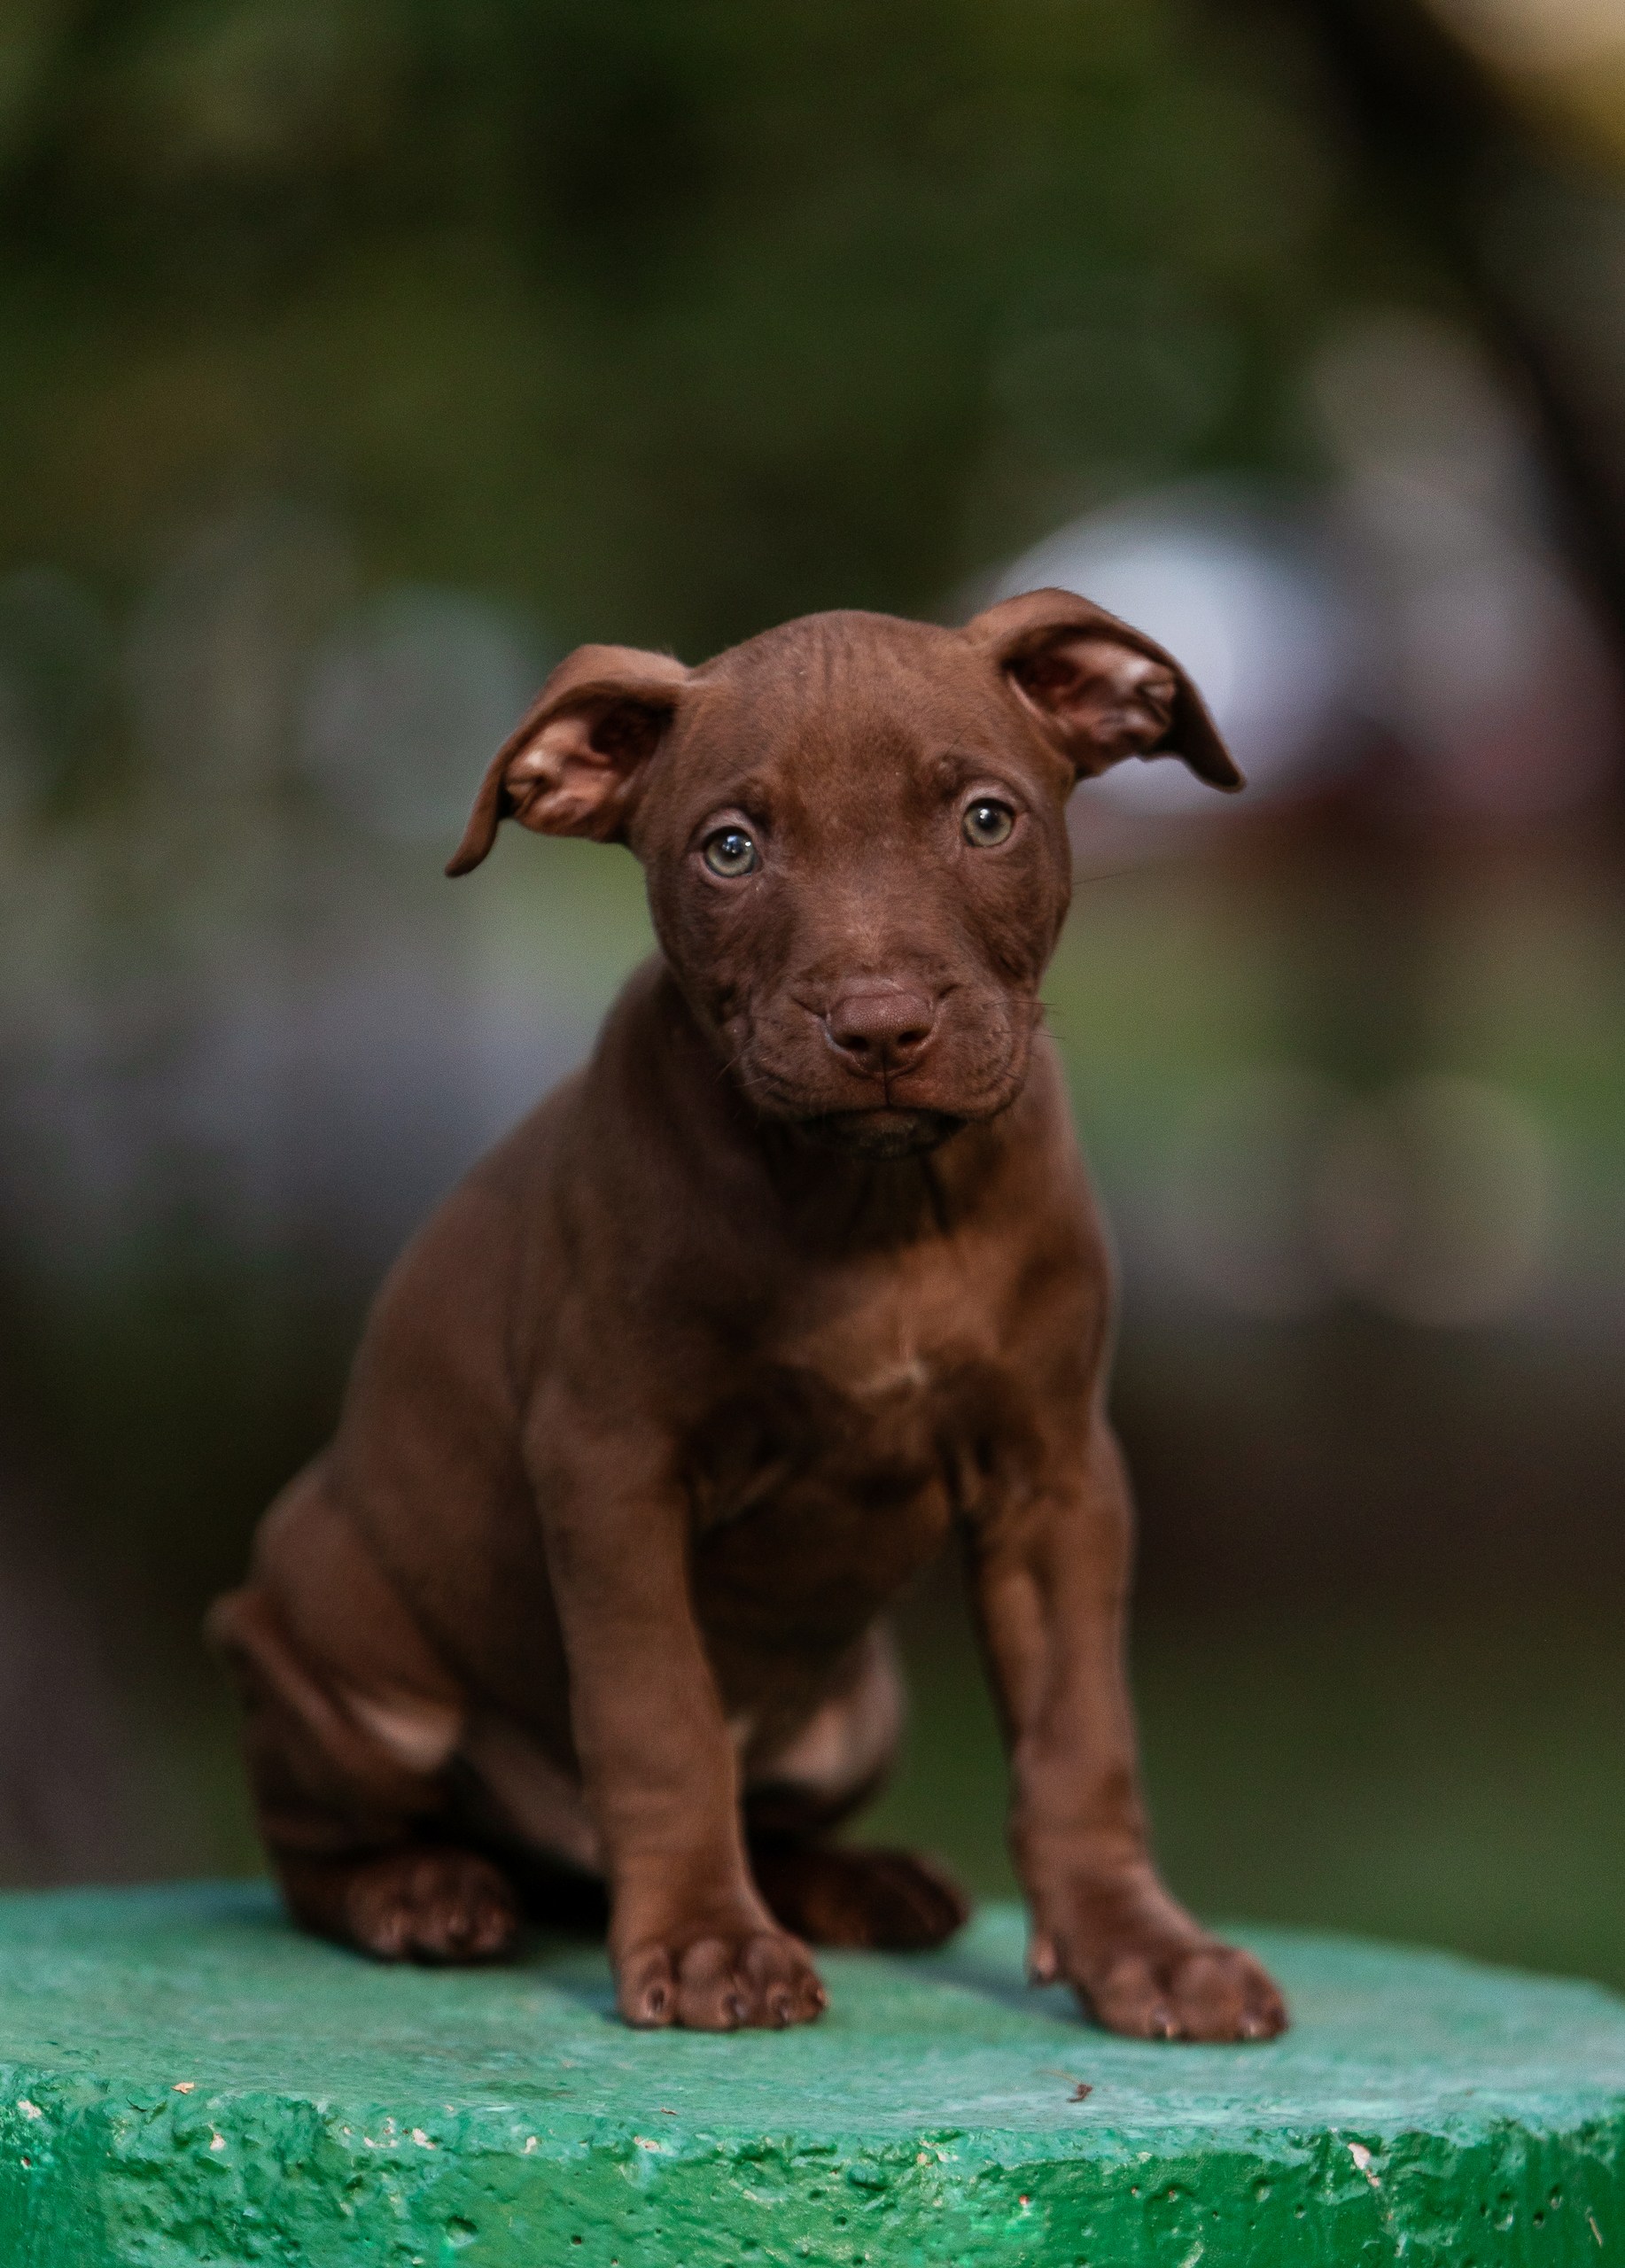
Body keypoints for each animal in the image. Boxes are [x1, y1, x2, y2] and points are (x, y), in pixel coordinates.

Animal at [209, 585, 1288, 2041]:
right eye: (730, 849)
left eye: (985, 819)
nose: (880, 1026)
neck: (871, 1209)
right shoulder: (611, 1469)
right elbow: (657, 1720)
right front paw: (705, 1939)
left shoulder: (1056, 1475)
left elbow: (1080, 1736)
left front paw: (1143, 1951)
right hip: (329, 1650)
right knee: (312, 1836)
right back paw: (417, 1891)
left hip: (859, 1709)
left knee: (776, 1811)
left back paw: (861, 1882)